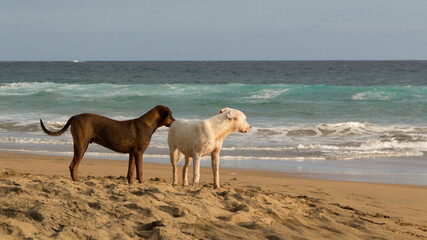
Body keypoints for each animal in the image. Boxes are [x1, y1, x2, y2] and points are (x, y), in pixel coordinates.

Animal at [39, 105, 174, 184]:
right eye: (171, 115)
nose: (175, 121)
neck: (148, 124)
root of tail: (76, 116)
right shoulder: (139, 153)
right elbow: (139, 171)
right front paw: (141, 182)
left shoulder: (132, 153)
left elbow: (130, 171)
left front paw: (130, 182)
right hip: (81, 145)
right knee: (73, 166)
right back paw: (77, 180)